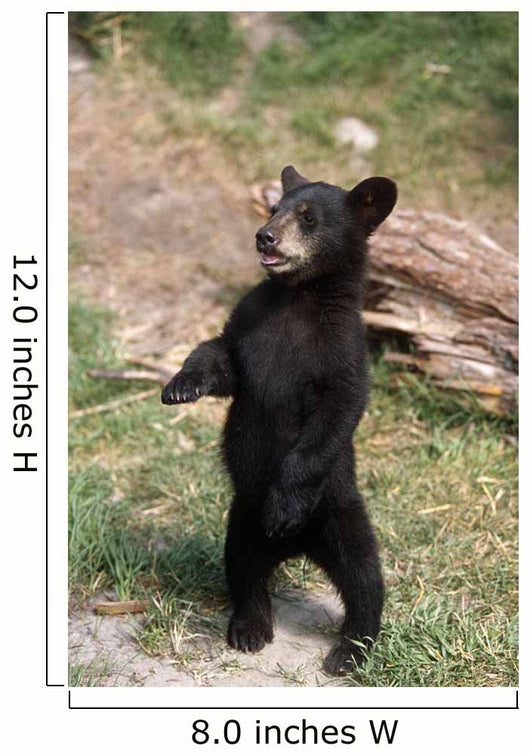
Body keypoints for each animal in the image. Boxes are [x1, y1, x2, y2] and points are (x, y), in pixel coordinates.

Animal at [161, 165, 397, 674]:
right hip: (241, 517)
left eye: (308, 217)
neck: (299, 297)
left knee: (364, 574)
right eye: (274, 208)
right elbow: (222, 357)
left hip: (339, 510)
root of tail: (298, 548)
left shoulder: (343, 349)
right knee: (243, 568)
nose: (264, 236)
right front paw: (181, 385)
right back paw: (251, 627)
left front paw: (286, 503)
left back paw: (351, 649)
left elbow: (337, 412)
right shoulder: (252, 322)